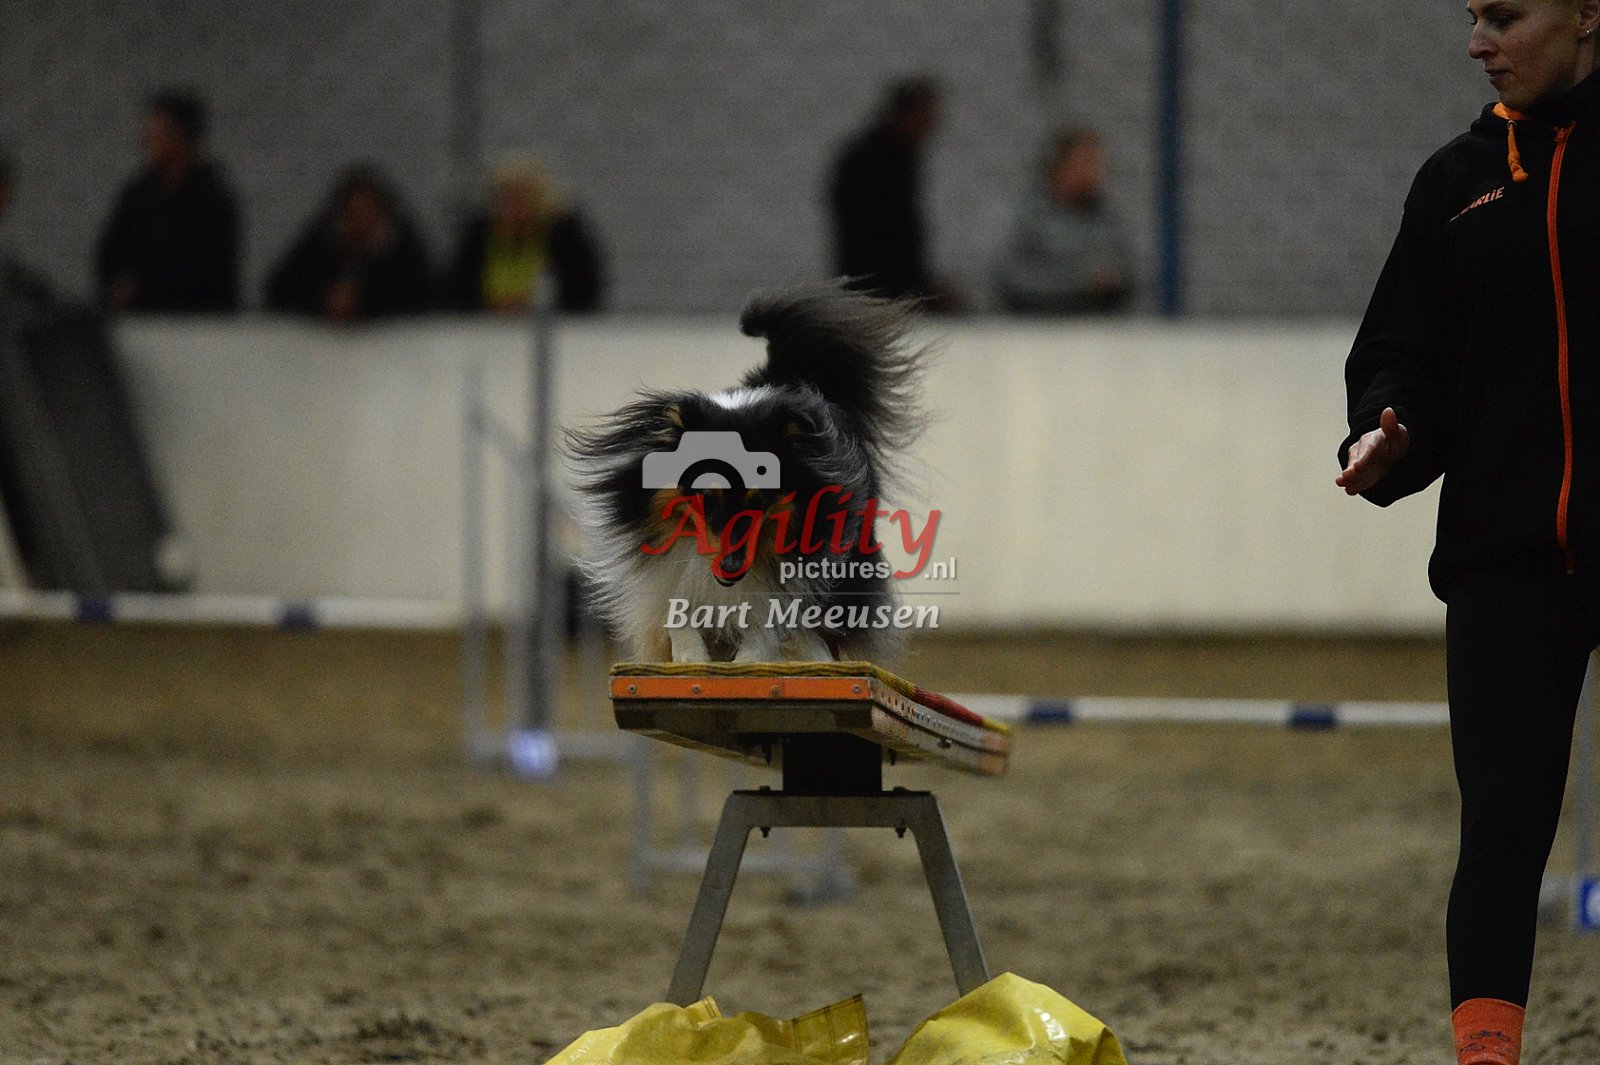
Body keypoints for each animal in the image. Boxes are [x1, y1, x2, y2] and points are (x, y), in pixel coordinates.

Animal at [565, 279, 928, 664]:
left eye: (762, 499)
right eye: (706, 496)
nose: (731, 567)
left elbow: (767, 623)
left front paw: (748, 661)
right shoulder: (667, 572)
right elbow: (677, 610)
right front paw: (691, 659)